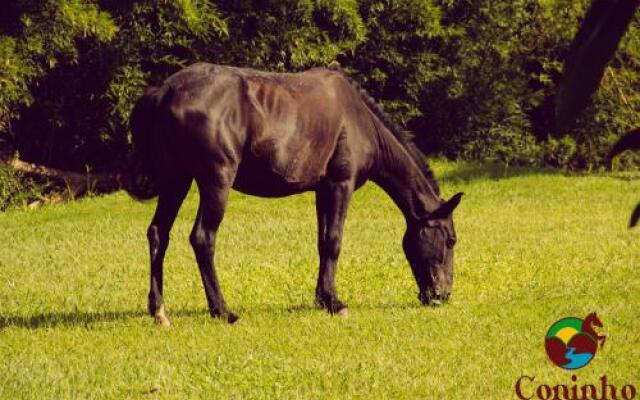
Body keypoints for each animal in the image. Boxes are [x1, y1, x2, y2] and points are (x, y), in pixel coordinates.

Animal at [127, 63, 462, 324]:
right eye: (450, 239)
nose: (441, 295)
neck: (359, 120)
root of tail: (165, 90)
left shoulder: (323, 190)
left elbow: (322, 243)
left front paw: (323, 299)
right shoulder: (341, 185)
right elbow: (334, 242)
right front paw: (335, 303)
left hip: (176, 181)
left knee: (158, 234)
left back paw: (159, 311)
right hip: (215, 182)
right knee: (202, 238)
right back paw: (223, 310)